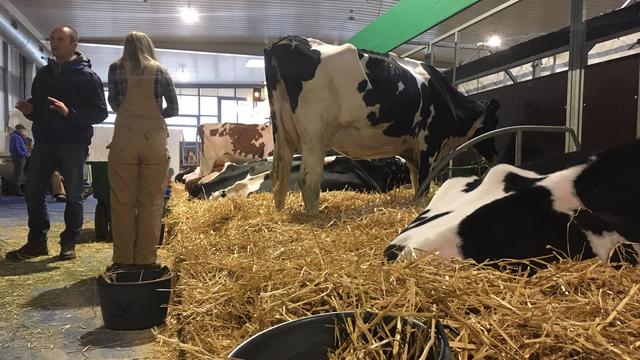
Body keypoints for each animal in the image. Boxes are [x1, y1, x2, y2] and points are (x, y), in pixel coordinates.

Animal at [264, 34, 500, 214]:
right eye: (495, 122)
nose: (496, 158)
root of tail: (287, 40)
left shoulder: (412, 153)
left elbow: (416, 183)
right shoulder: (429, 144)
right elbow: (424, 185)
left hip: (281, 129)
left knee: (278, 175)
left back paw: (280, 212)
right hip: (315, 135)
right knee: (308, 179)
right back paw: (314, 216)